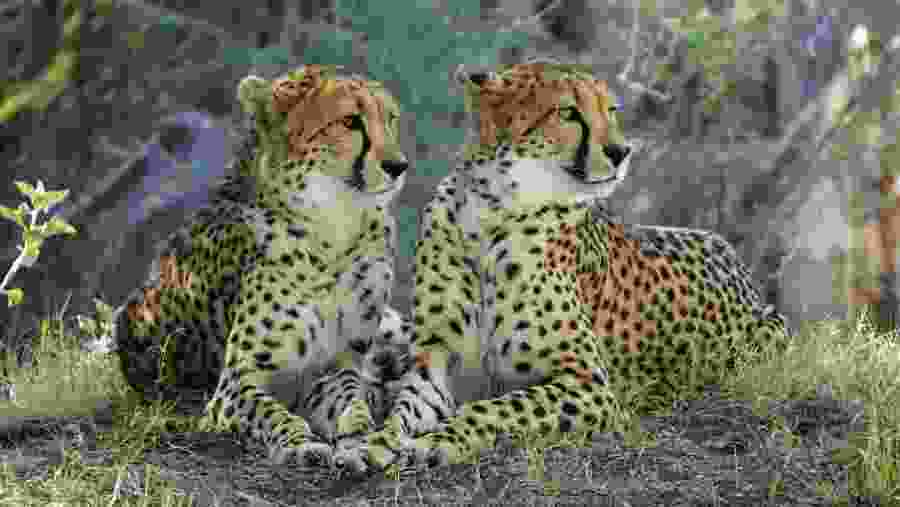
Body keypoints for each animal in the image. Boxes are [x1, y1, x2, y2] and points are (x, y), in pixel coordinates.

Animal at [113, 64, 417, 467]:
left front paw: (360, 437)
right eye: (350, 121)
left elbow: (352, 401)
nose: (398, 166)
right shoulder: (235, 384)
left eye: (390, 118)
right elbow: (271, 413)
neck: (335, 227)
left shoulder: (330, 369)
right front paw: (301, 444)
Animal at [333, 59, 790, 475]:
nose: (621, 152)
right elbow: (403, 412)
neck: (490, 212)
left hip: (766, 337)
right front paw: (371, 445)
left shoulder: (589, 384)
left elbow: (493, 408)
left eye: (611, 110)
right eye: (568, 112)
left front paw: (438, 442)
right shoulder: (438, 362)